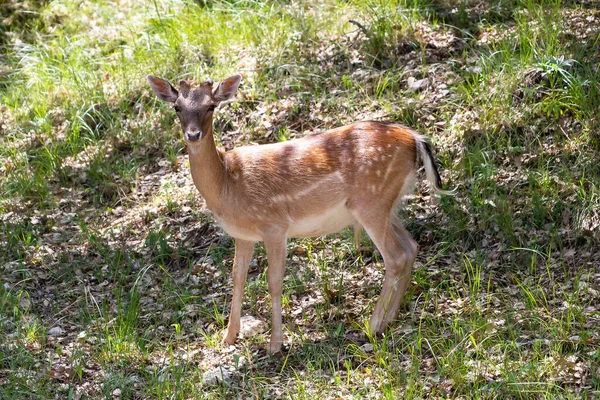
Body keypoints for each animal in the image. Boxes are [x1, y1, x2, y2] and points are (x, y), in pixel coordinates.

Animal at [148, 72, 450, 354]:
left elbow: (274, 282)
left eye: (211, 106)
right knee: (411, 246)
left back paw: (373, 324)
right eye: (176, 107)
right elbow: (237, 278)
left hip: (371, 202)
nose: (193, 135)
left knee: (395, 256)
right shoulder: (243, 235)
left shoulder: (274, 225)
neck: (227, 185)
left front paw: (275, 344)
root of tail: (416, 139)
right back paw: (390, 318)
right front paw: (229, 337)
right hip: (387, 203)